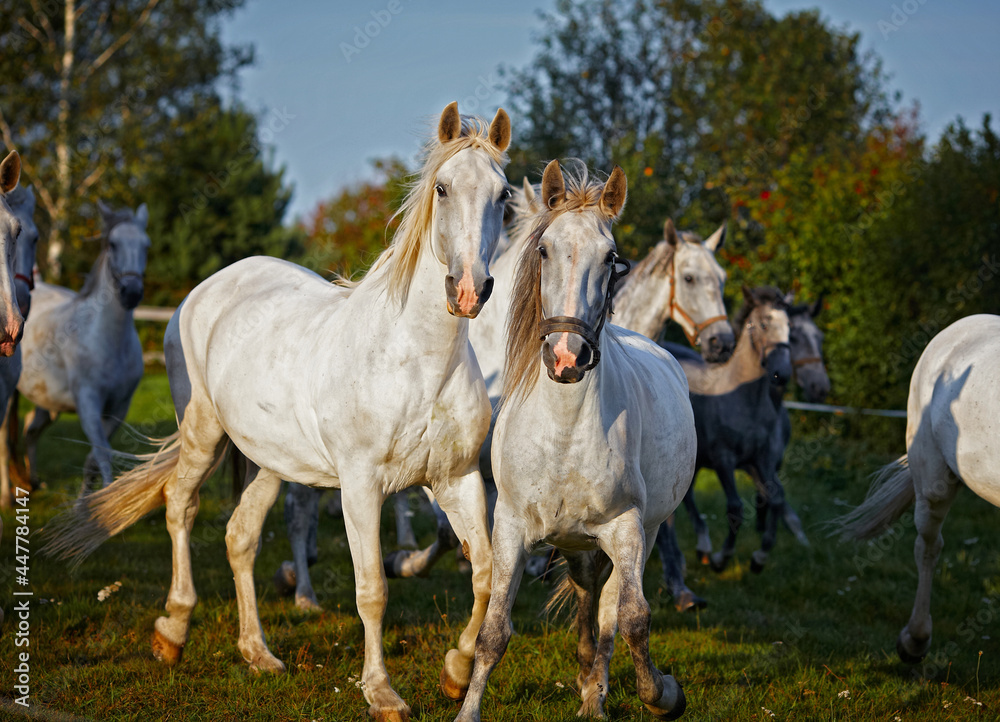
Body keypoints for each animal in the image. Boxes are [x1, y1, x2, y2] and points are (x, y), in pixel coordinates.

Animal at [16, 200, 148, 493]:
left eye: (146, 245)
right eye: (112, 244)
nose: (131, 293)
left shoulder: (119, 409)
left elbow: (93, 461)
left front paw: (86, 501)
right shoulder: (88, 405)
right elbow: (103, 457)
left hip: (47, 402)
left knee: (30, 429)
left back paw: (34, 481)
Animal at [44, 102, 512, 722]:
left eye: (504, 194)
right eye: (442, 188)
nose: (469, 290)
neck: (416, 358)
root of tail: (207, 290)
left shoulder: (456, 479)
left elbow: (483, 575)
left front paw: (456, 673)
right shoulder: (361, 486)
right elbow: (372, 590)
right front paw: (382, 693)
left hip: (268, 459)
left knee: (240, 536)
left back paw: (257, 653)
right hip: (201, 432)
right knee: (179, 505)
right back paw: (172, 630)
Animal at [455, 160, 695, 722]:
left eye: (610, 258)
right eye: (544, 250)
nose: (567, 357)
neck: (563, 430)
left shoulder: (626, 527)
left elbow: (633, 620)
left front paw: (661, 694)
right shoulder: (510, 528)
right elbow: (493, 631)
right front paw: (467, 709)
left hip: (640, 534)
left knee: (607, 615)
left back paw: (595, 697)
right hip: (579, 544)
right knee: (590, 601)